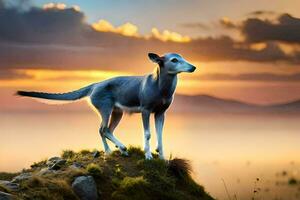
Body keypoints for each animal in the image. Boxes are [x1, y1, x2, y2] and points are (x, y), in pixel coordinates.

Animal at [18, 52, 197, 159]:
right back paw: (113, 150)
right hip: (105, 107)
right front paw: (148, 156)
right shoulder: (146, 110)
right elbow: (147, 134)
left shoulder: (161, 112)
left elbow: (160, 134)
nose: (193, 67)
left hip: (118, 112)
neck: (161, 88)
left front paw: (162, 157)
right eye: (174, 60)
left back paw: (121, 148)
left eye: (182, 57)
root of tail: (95, 85)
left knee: (108, 129)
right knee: (102, 129)